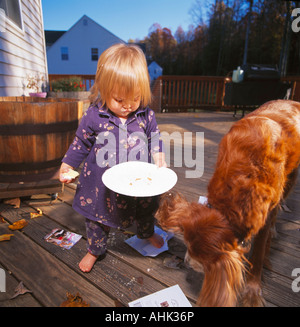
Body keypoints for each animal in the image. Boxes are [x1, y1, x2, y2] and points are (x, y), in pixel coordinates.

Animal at [157, 100, 300, 308]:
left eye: (202, 259)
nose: (186, 262)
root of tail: (291, 101)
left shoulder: (265, 213)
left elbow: (258, 254)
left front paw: (252, 292)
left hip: (291, 175)